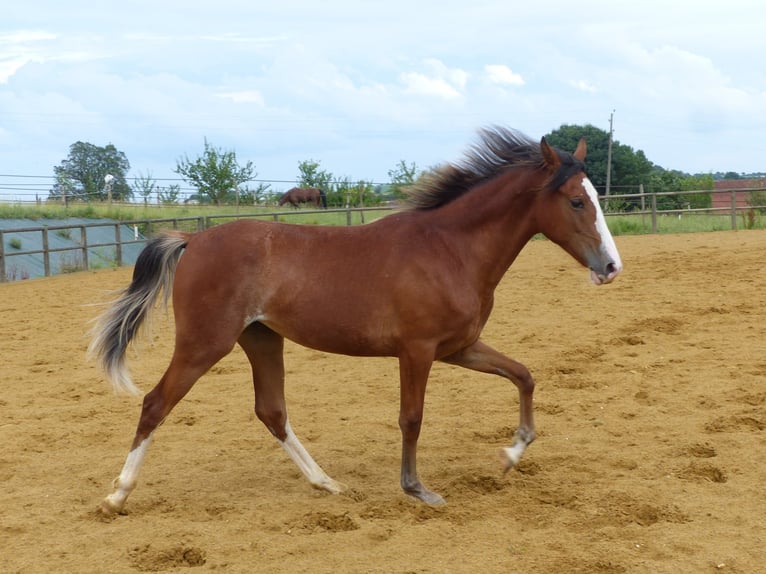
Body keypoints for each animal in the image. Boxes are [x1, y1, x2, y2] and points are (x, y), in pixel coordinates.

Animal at [90, 129, 624, 516]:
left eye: (596, 197)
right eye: (577, 201)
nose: (611, 266)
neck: (450, 249)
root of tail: (194, 240)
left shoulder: (459, 347)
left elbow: (523, 375)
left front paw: (511, 455)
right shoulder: (419, 350)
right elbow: (411, 417)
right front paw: (418, 489)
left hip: (261, 339)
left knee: (272, 411)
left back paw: (326, 483)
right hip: (205, 342)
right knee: (156, 403)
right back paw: (117, 495)